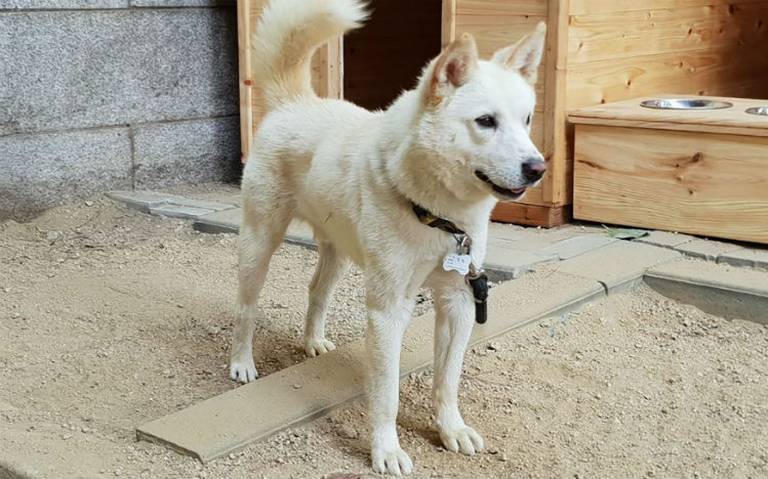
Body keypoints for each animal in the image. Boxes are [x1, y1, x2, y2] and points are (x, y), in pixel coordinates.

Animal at [228, 0, 544, 472]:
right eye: (486, 121)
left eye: (526, 120)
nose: (538, 168)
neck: (439, 216)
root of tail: (295, 103)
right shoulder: (388, 310)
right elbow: (387, 393)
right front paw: (387, 450)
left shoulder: (458, 300)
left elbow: (448, 380)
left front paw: (451, 429)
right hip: (259, 242)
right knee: (246, 309)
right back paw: (241, 364)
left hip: (338, 251)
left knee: (316, 291)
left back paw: (313, 341)